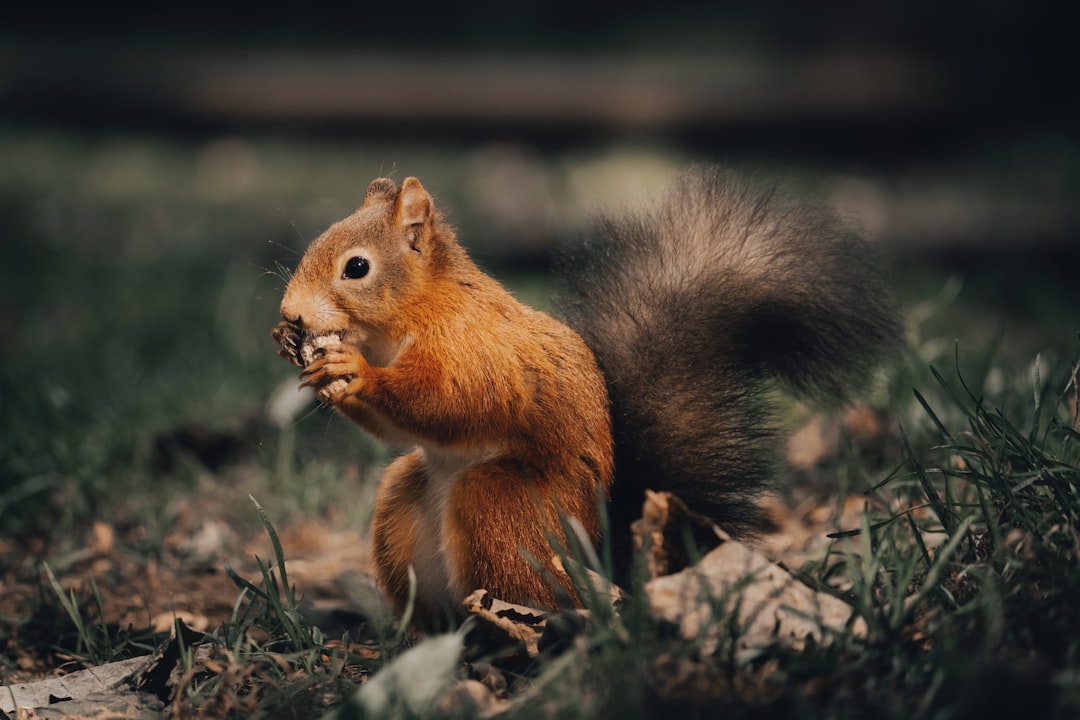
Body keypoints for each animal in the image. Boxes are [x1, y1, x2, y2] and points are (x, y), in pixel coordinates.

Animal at [272, 167, 902, 626]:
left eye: (357, 267)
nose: (290, 314)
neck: (417, 312)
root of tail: (599, 555)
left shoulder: (473, 350)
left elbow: (450, 402)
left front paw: (354, 371)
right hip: (405, 504)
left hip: (504, 506)